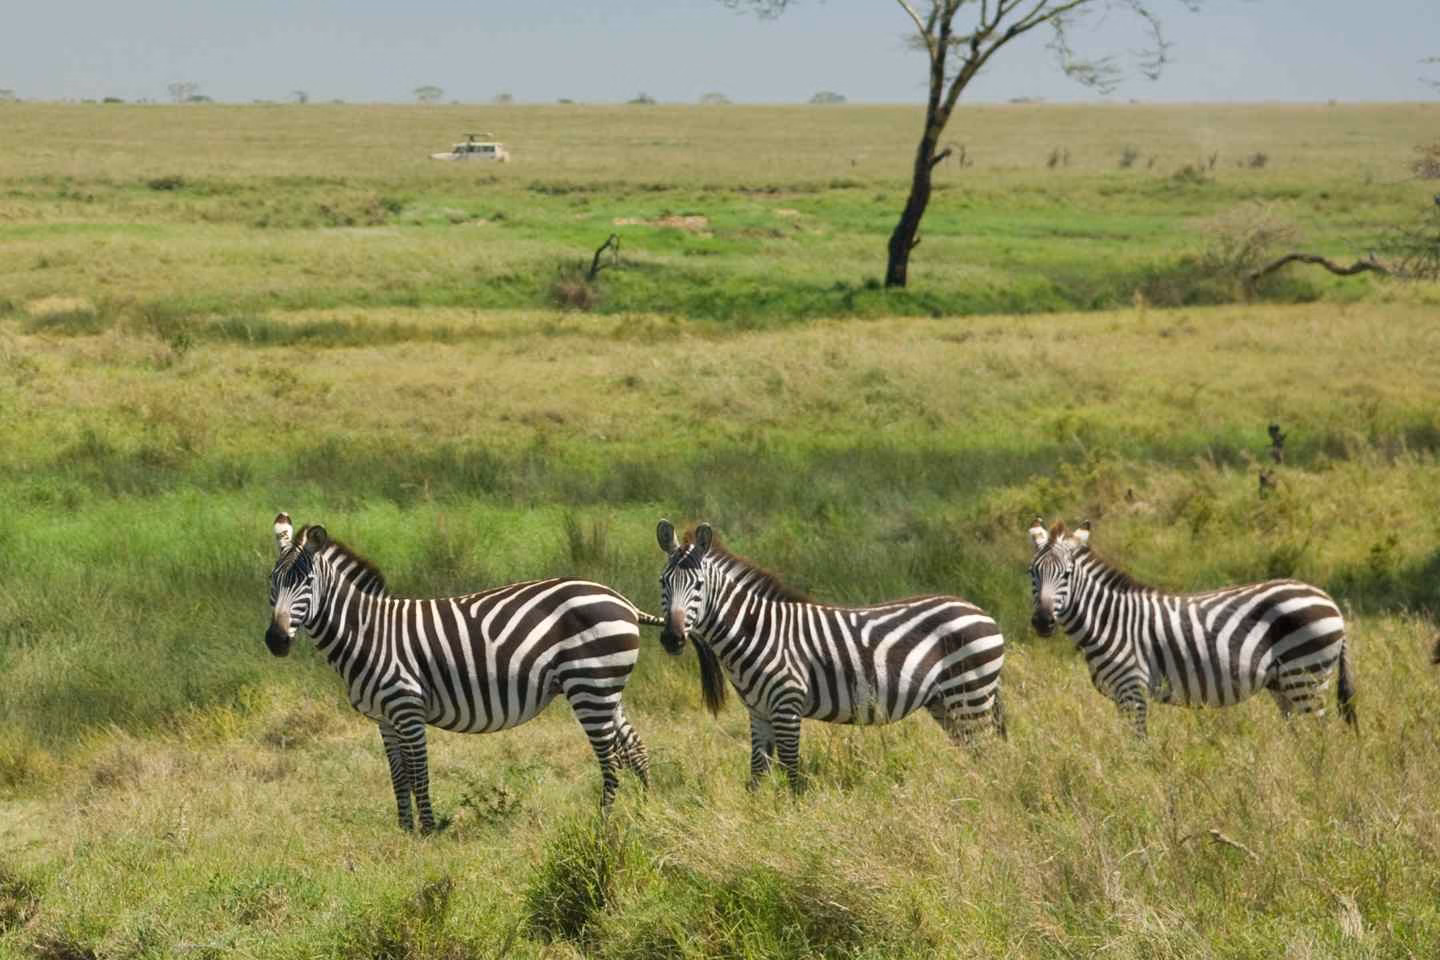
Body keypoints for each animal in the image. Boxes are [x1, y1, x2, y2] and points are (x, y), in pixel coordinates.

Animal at [266, 514, 661, 831]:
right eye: (272, 581)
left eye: (306, 581)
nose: (275, 641)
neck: (366, 632)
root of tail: (622, 600)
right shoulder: (385, 719)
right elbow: (398, 777)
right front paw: (405, 831)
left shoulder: (407, 708)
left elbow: (419, 774)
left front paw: (427, 832)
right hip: (605, 687)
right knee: (635, 749)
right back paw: (645, 813)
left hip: (588, 685)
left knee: (610, 759)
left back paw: (603, 824)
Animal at [655, 520, 1006, 790]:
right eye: (662, 582)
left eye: (699, 585)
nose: (672, 638)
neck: (755, 632)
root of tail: (981, 612)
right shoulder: (759, 712)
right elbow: (757, 774)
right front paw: (754, 821)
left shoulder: (787, 705)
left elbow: (792, 772)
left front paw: (792, 824)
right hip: (946, 703)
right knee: (975, 753)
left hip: (970, 694)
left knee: (987, 754)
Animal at [1027, 518, 1357, 736]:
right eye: (1032, 572)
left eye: (1067, 574)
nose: (1042, 621)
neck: (1108, 621)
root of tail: (1330, 602)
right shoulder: (1121, 696)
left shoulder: (1132, 690)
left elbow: (1137, 747)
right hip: (1284, 683)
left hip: (1306, 676)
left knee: (1319, 736)